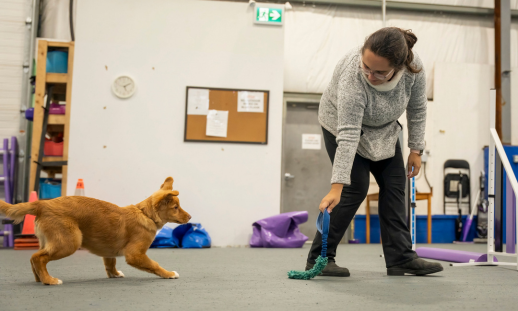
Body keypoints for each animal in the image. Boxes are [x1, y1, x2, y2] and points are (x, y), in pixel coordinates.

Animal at [0, 177, 191, 286]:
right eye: (176, 207)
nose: (189, 217)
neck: (146, 214)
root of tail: (42, 204)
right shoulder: (135, 255)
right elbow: (154, 265)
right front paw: (169, 274)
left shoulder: (109, 251)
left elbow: (110, 264)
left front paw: (114, 274)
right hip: (69, 242)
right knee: (37, 258)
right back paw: (49, 281)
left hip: (50, 241)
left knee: (35, 258)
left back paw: (40, 278)